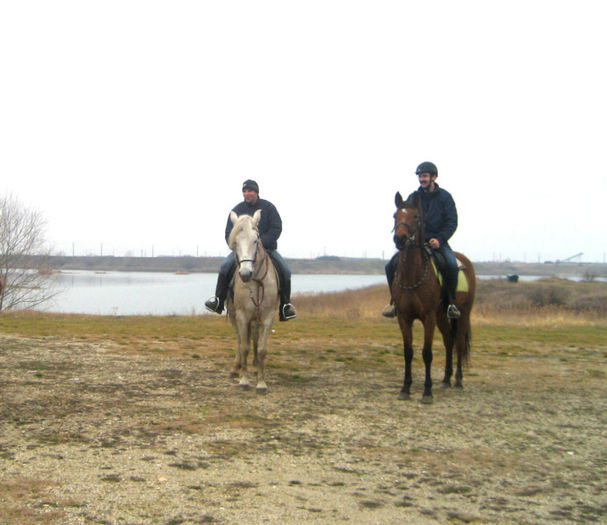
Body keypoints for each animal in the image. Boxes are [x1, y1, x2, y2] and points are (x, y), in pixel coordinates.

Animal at [226, 211, 280, 390]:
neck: (255, 281)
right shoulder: (242, 316)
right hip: (235, 316)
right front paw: (244, 379)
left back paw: (256, 366)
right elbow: (244, 347)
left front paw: (261, 382)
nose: (245, 274)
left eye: (255, 240)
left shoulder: (268, 317)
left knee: (255, 339)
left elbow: (262, 348)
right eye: (235, 242)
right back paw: (236, 368)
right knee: (239, 339)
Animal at [392, 191, 478, 402]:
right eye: (395, 216)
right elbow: (408, 352)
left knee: (459, 343)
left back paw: (458, 380)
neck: (413, 275)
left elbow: (427, 353)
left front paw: (427, 392)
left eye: (416, 216)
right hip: (441, 315)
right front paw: (405, 389)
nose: (400, 239)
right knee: (448, 340)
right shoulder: (404, 317)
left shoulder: (428, 317)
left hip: (462, 314)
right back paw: (446, 379)